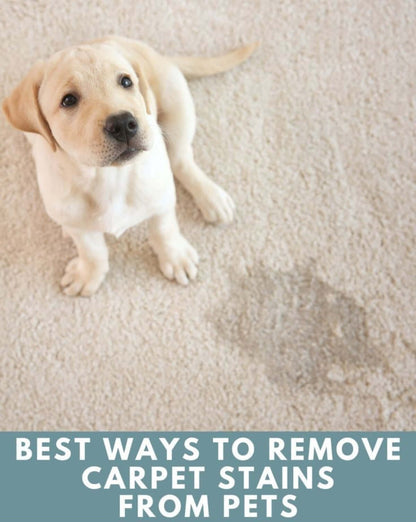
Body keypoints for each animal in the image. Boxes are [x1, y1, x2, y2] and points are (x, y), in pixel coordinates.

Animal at [2, 36, 256, 294]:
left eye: (126, 81)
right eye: (69, 100)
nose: (123, 123)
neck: (107, 178)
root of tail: (157, 55)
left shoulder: (162, 199)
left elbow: (164, 229)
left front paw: (175, 257)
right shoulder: (74, 220)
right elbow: (91, 250)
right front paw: (89, 273)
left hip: (178, 104)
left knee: (181, 159)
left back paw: (212, 197)